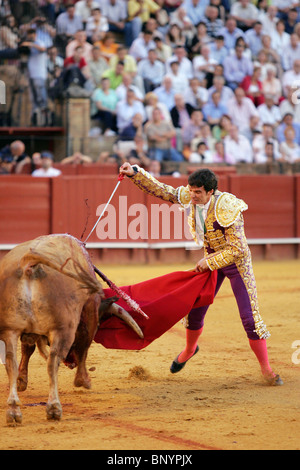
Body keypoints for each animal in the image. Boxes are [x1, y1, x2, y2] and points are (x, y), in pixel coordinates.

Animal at [0, 233, 143, 424]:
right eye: (100, 324)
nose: (70, 362)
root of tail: (29, 264)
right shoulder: (90, 312)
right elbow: (84, 347)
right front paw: (83, 380)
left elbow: (27, 349)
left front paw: (22, 380)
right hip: (63, 329)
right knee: (53, 361)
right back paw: (54, 408)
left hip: (9, 330)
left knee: (11, 362)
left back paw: (13, 410)